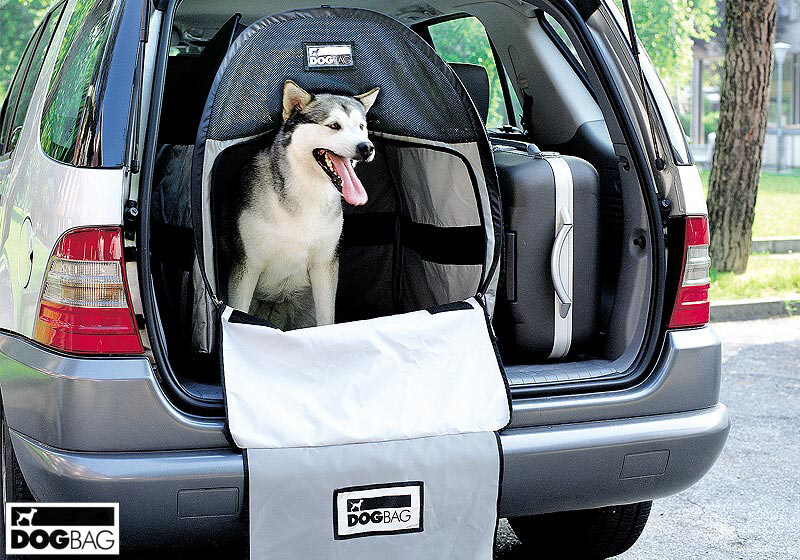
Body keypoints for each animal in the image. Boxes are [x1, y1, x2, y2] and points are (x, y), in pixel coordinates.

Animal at [227, 81, 380, 330]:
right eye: (334, 125)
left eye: (361, 127)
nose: (366, 147)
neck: (307, 192)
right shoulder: (247, 265)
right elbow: (238, 311)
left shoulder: (324, 265)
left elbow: (327, 320)